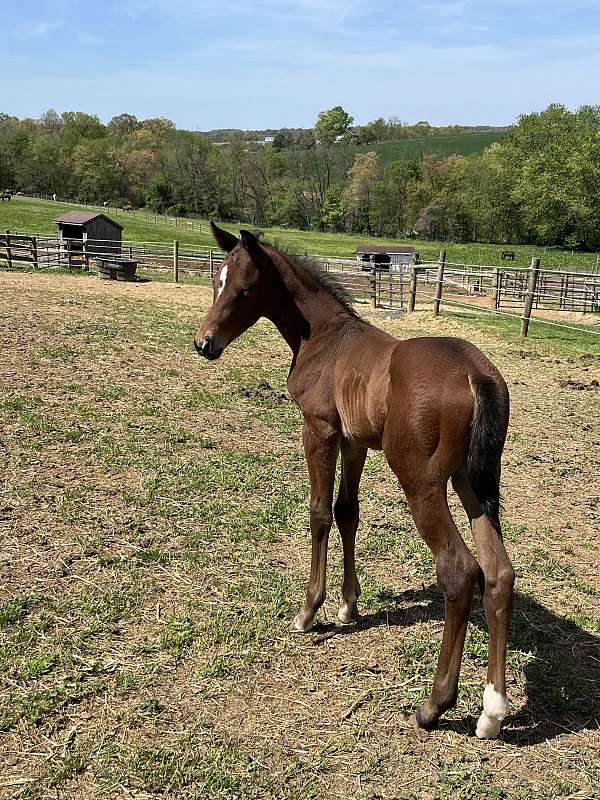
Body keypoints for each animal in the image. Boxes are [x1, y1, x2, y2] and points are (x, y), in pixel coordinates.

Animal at [194, 222, 515, 740]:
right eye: (214, 281)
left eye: (244, 290)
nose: (204, 343)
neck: (325, 338)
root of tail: (475, 374)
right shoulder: (354, 442)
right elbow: (348, 513)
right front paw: (349, 606)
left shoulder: (319, 429)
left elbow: (320, 513)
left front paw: (309, 611)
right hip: (476, 484)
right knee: (499, 574)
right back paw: (492, 712)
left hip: (422, 482)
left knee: (460, 570)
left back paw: (434, 706)